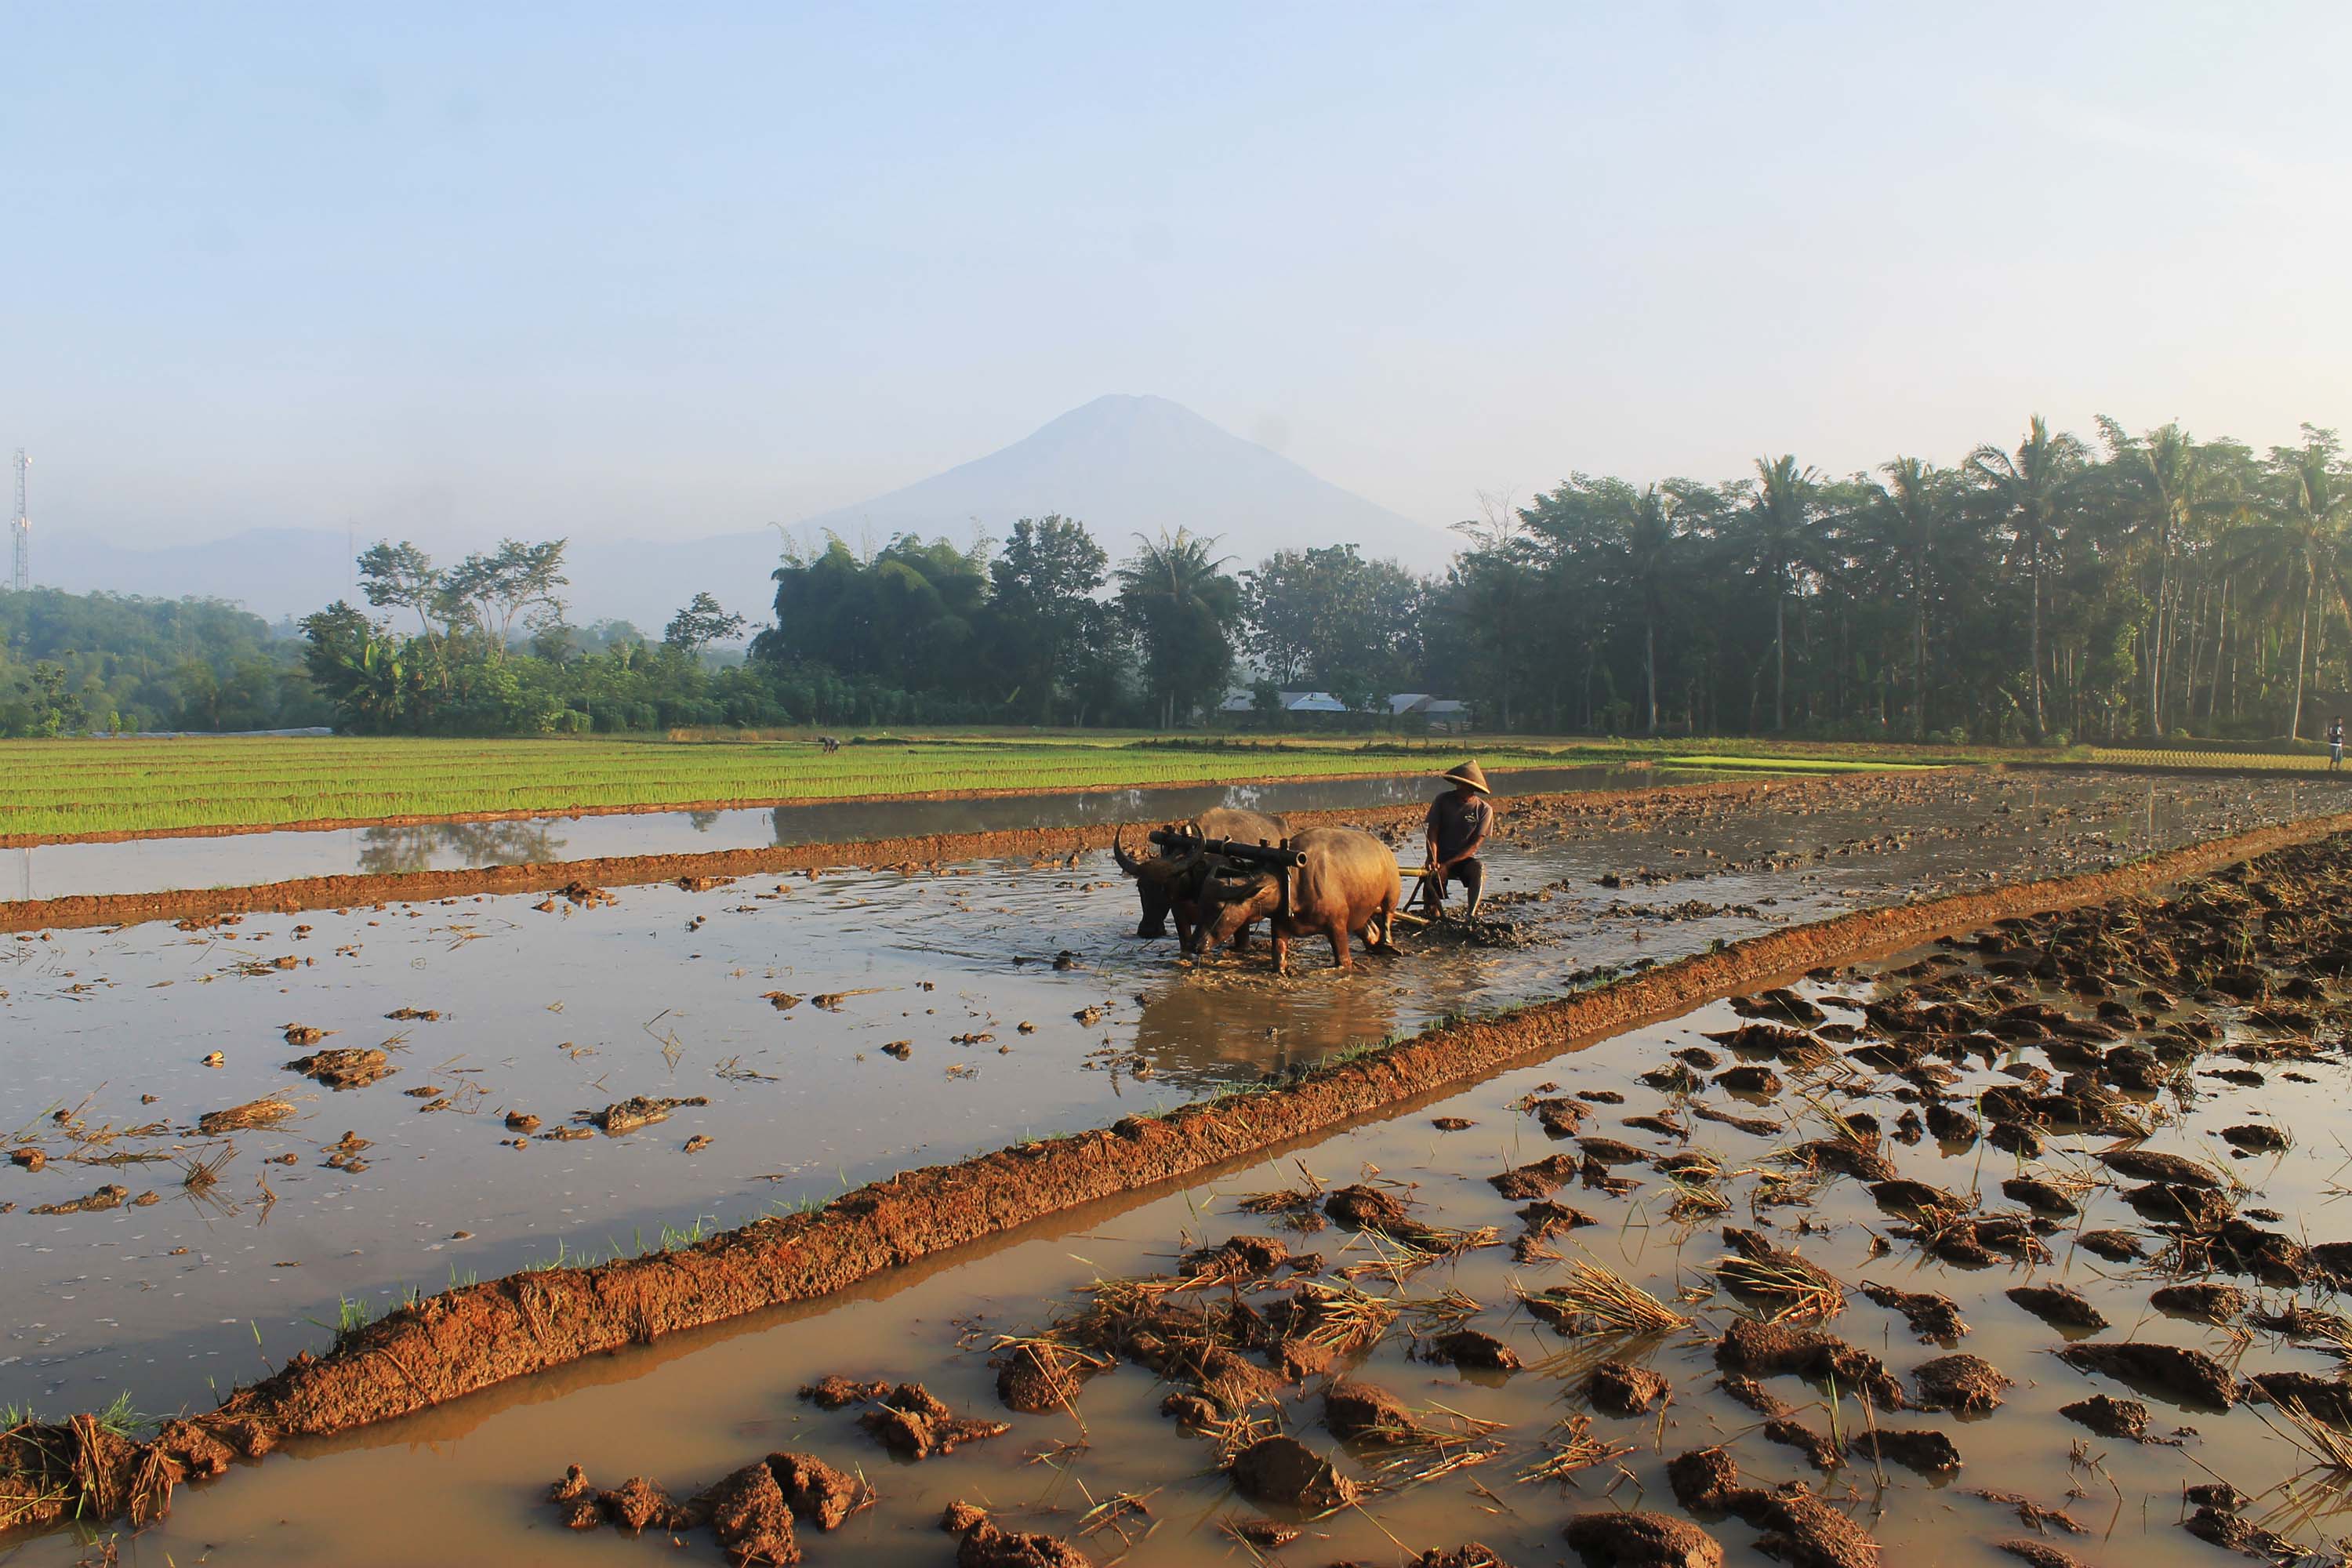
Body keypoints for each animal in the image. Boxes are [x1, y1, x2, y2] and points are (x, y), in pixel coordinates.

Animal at [1195, 827, 1392, 973]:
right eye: (1202, 904)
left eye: (1218, 907)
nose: (1194, 945)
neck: (1292, 881)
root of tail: (1384, 849)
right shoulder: (1279, 925)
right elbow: (1279, 956)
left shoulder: (1338, 926)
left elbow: (1344, 960)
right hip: (1360, 910)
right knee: (1370, 930)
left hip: (1391, 895)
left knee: (1386, 918)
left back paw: (1389, 944)